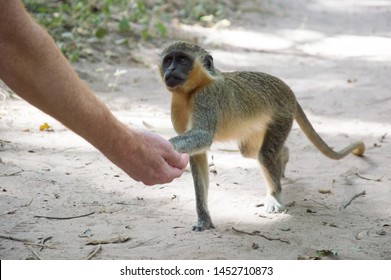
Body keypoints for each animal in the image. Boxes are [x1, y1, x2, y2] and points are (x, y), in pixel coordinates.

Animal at [158, 40, 364, 231]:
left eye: (182, 60)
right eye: (168, 60)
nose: (172, 68)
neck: (190, 91)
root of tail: (289, 92)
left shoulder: (206, 96)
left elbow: (203, 136)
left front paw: (165, 146)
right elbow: (198, 154)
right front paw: (204, 218)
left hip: (282, 114)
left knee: (265, 154)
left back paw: (275, 193)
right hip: (255, 128)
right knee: (252, 151)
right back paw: (283, 157)